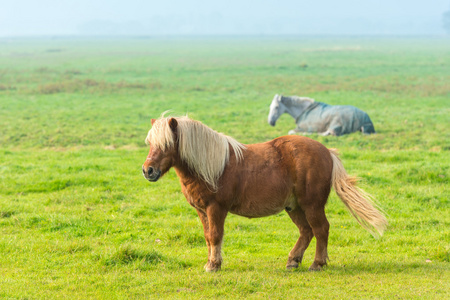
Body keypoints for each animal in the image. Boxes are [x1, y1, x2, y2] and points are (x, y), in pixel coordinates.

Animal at [143, 115, 386, 272]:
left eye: (167, 144)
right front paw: (211, 262)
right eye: (150, 143)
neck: (211, 166)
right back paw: (293, 261)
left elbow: (215, 236)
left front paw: (214, 265)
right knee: (306, 231)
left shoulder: (216, 209)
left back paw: (317, 264)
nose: (148, 171)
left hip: (312, 205)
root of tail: (327, 152)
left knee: (321, 229)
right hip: (294, 207)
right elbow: (208, 236)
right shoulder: (202, 211)